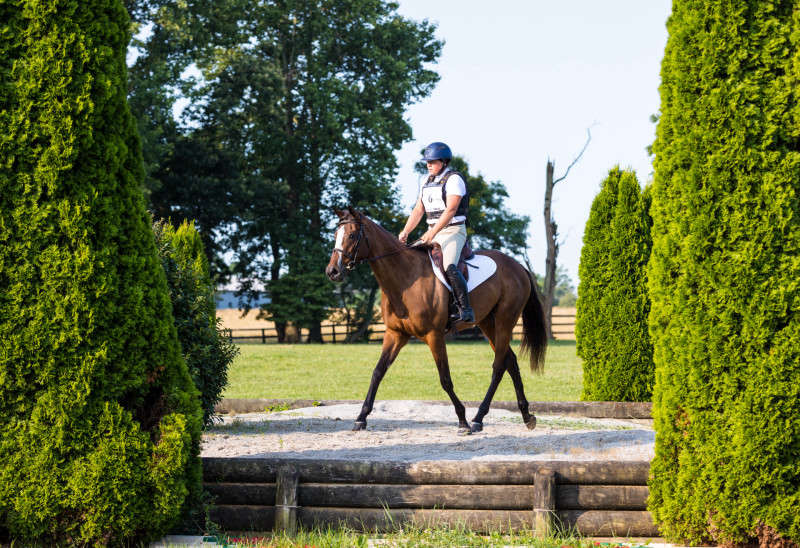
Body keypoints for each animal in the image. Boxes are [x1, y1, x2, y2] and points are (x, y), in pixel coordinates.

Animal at [324, 208, 552, 434]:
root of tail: (518, 266)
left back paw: (478, 418)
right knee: (510, 361)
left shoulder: (434, 336)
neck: (405, 278)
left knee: (498, 366)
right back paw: (526, 416)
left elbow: (445, 379)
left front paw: (462, 420)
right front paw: (361, 418)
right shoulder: (395, 334)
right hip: (488, 323)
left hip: (505, 321)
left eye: (352, 235)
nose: (332, 271)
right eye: (335, 235)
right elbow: (378, 372)